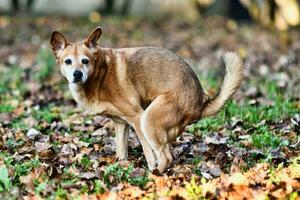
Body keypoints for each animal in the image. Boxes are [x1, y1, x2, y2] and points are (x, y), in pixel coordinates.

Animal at [50, 27, 244, 173]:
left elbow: (147, 151)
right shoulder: (121, 123)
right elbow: (121, 150)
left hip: (148, 120)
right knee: (169, 153)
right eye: (68, 61)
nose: (77, 74)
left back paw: (155, 175)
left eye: (85, 61)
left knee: (165, 156)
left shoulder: (136, 117)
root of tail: (201, 101)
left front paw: (150, 167)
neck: (99, 75)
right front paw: (121, 166)